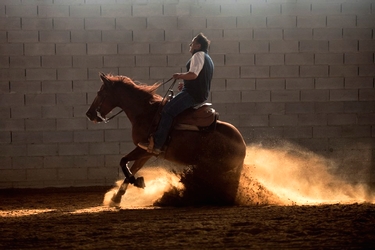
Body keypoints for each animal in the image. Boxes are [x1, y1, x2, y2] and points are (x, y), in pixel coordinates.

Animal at [86, 72, 248, 205]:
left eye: (100, 92)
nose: (89, 114)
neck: (145, 112)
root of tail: (242, 145)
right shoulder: (146, 152)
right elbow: (131, 168)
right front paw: (117, 198)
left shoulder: (144, 149)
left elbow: (123, 162)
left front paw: (136, 182)